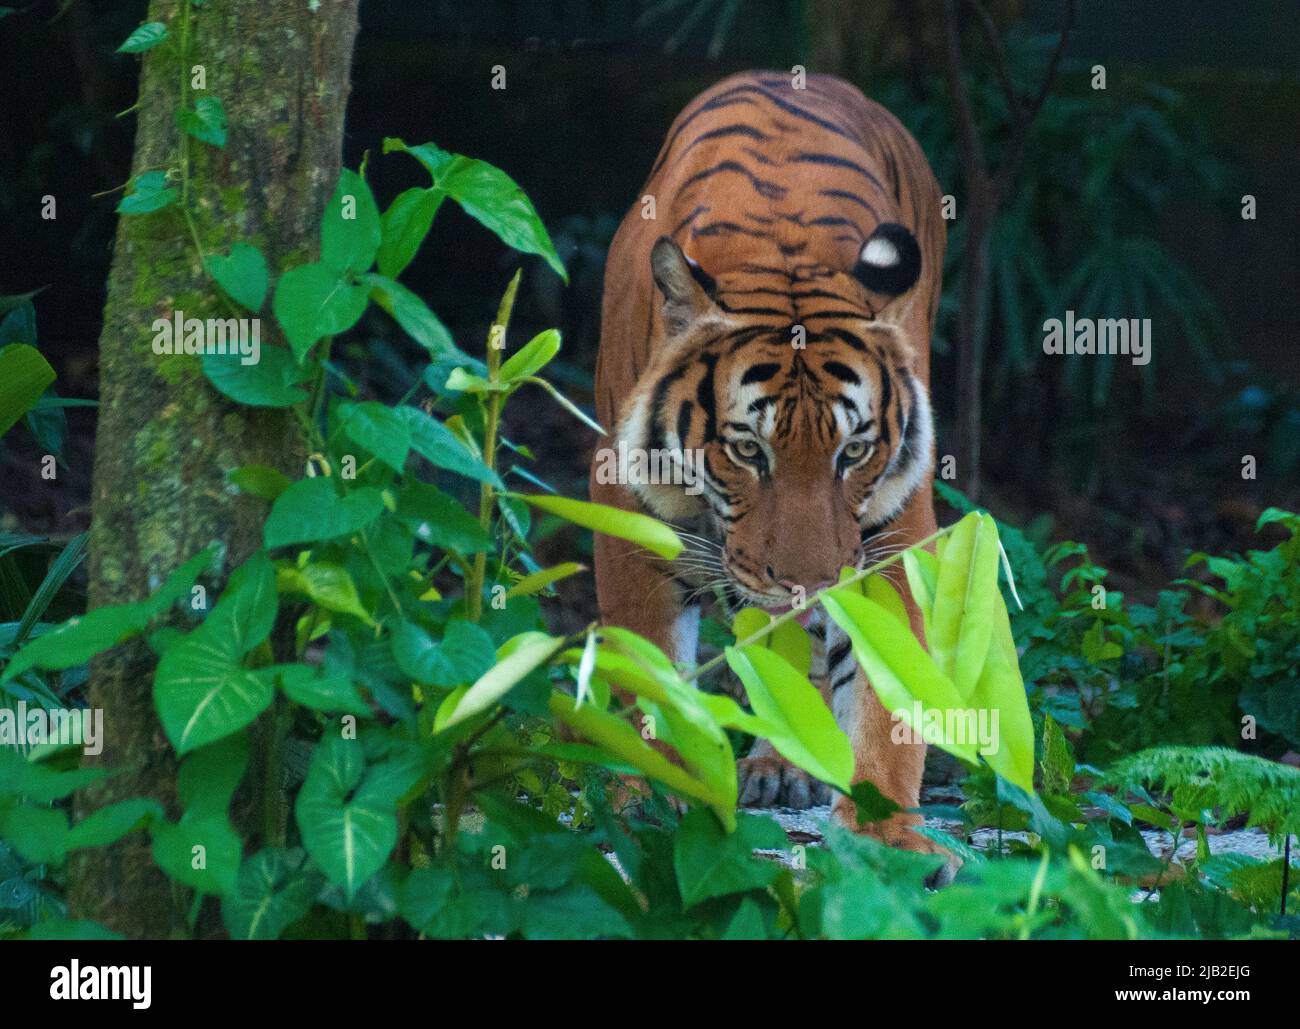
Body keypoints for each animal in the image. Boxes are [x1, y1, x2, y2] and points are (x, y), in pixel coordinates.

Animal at [590, 70, 946, 862]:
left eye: (854, 450)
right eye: (748, 449)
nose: (809, 582)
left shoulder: (889, 531)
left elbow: (887, 689)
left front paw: (888, 836)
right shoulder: (631, 512)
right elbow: (648, 668)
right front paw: (650, 800)